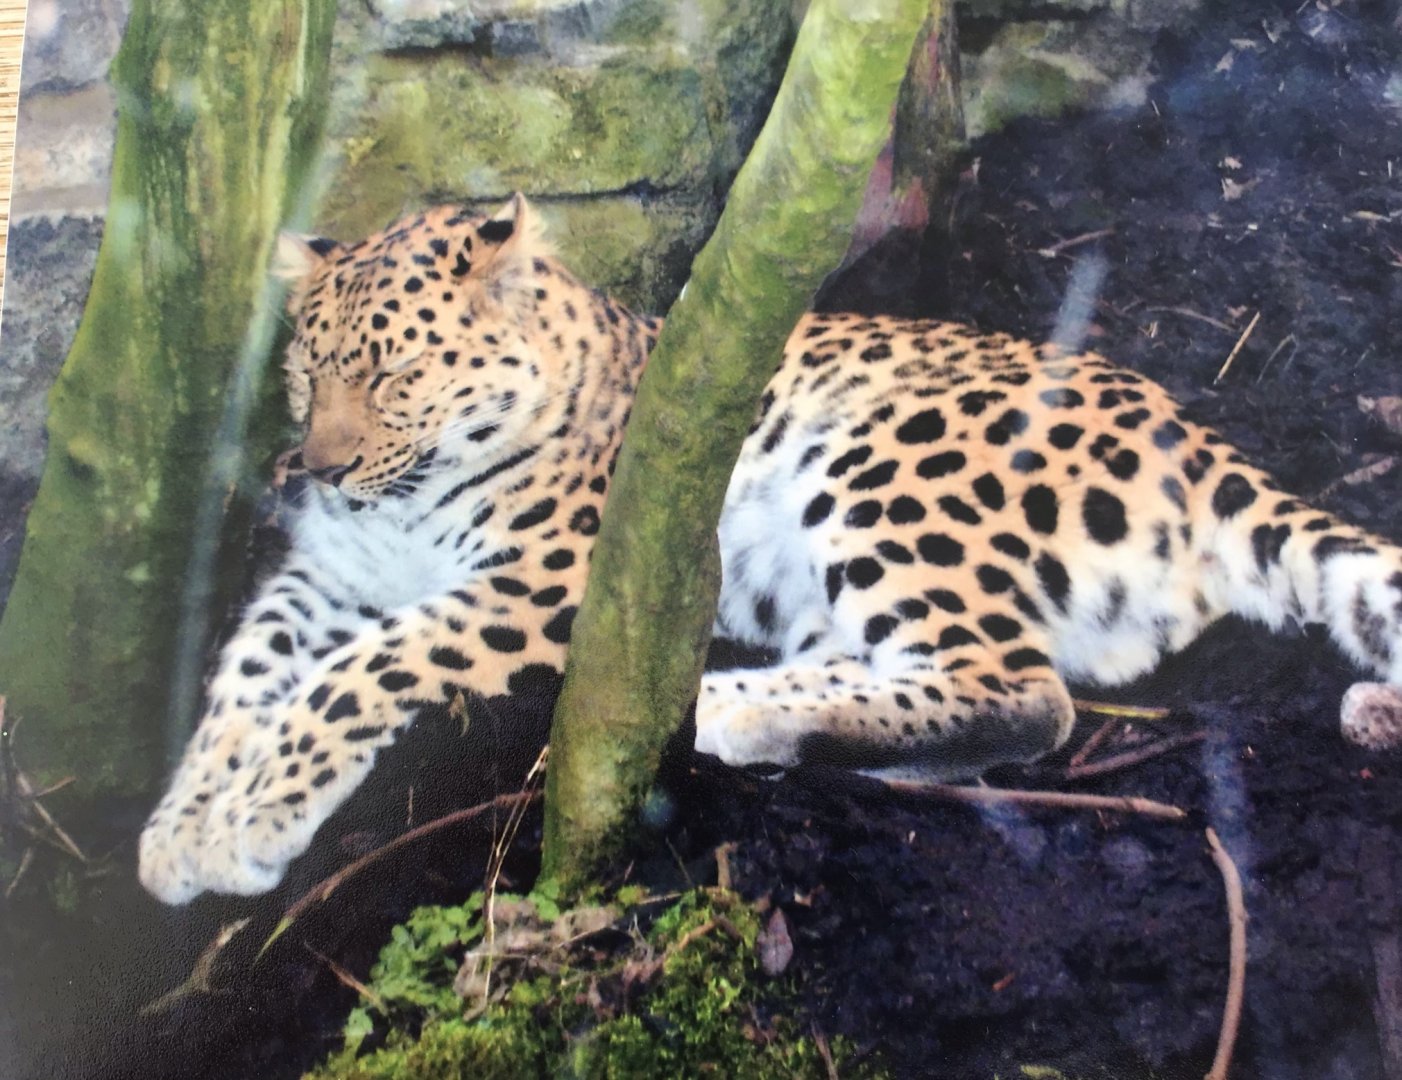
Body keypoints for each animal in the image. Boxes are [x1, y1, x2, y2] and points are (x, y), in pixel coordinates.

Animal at [138, 193, 1402, 905]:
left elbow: (363, 671)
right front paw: (183, 825)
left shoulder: (550, 584)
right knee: (922, 671)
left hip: (886, 463)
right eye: (308, 369)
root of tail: (1191, 432)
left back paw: (726, 714)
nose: (319, 470)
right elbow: (242, 681)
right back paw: (726, 704)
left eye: (395, 372)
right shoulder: (322, 577)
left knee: (1021, 694)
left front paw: (250, 820)